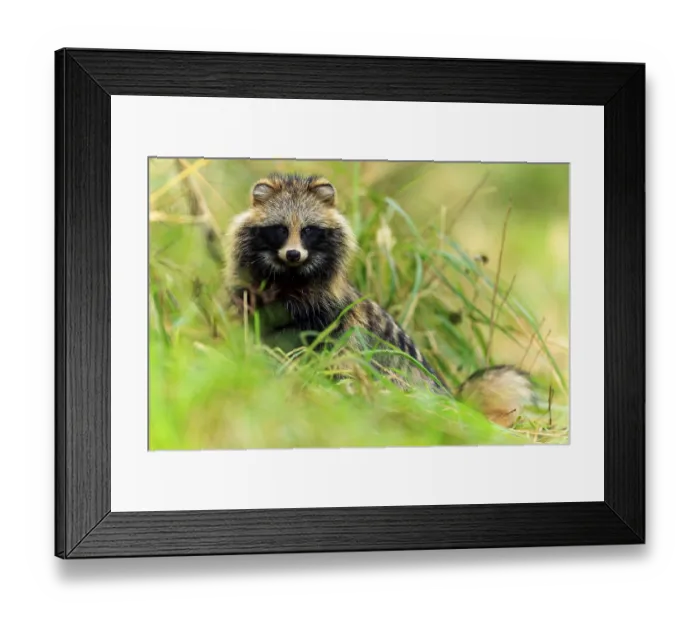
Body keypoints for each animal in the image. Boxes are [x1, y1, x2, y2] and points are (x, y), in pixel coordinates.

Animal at [225, 173, 533, 426]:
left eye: (308, 230)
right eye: (280, 229)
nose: (293, 254)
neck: (290, 275)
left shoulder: (325, 311)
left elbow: (319, 344)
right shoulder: (253, 295)